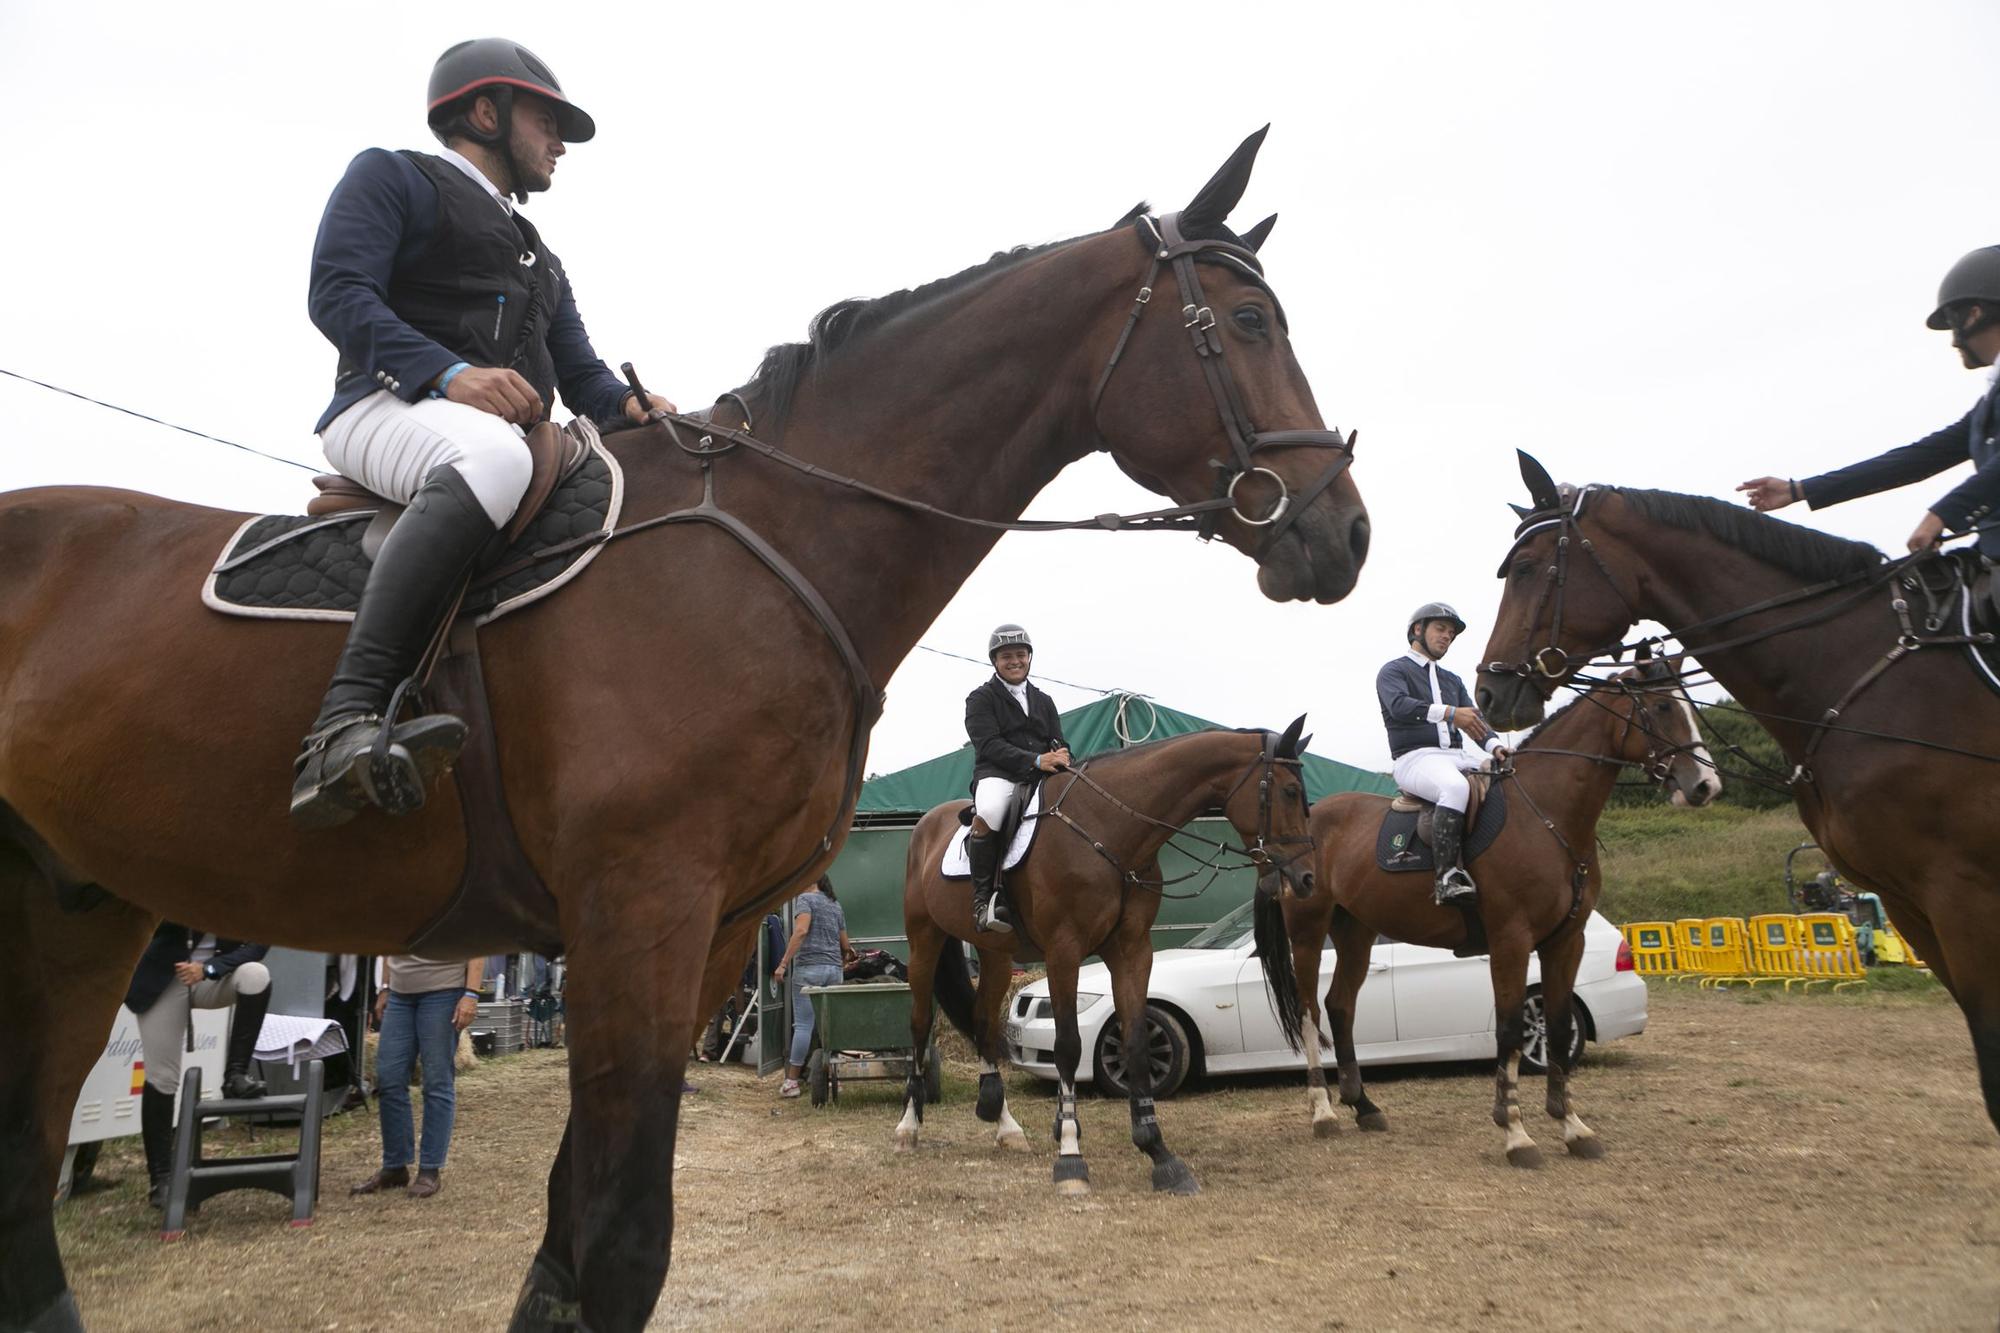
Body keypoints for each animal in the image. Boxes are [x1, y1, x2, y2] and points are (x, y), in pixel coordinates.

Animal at [896, 716, 1312, 1192]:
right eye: (1289, 792)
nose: (1305, 878)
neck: (1110, 828)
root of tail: (927, 825)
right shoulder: (1064, 951)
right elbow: (1068, 1047)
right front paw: (1070, 1157)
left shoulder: (1132, 950)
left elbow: (1136, 1043)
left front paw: (1159, 1154)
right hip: (924, 940)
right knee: (919, 1022)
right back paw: (908, 1126)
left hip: (996, 953)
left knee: (983, 1020)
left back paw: (1004, 1123)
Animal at [1256, 660, 1712, 1160]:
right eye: (1663, 706)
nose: (1705, 785)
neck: (1545, 815)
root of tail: (1300, 827)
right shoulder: (1510, 941)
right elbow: (1509, 1029)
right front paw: (1515, 1132)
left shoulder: (1565, 941)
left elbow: (1556, 1025)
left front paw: (1572, 1126)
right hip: (1308, 932)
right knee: (1309, 1013)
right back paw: (1323, 1113)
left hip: (1356, 932)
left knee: (1340, 1007)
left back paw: (1364, 1106)